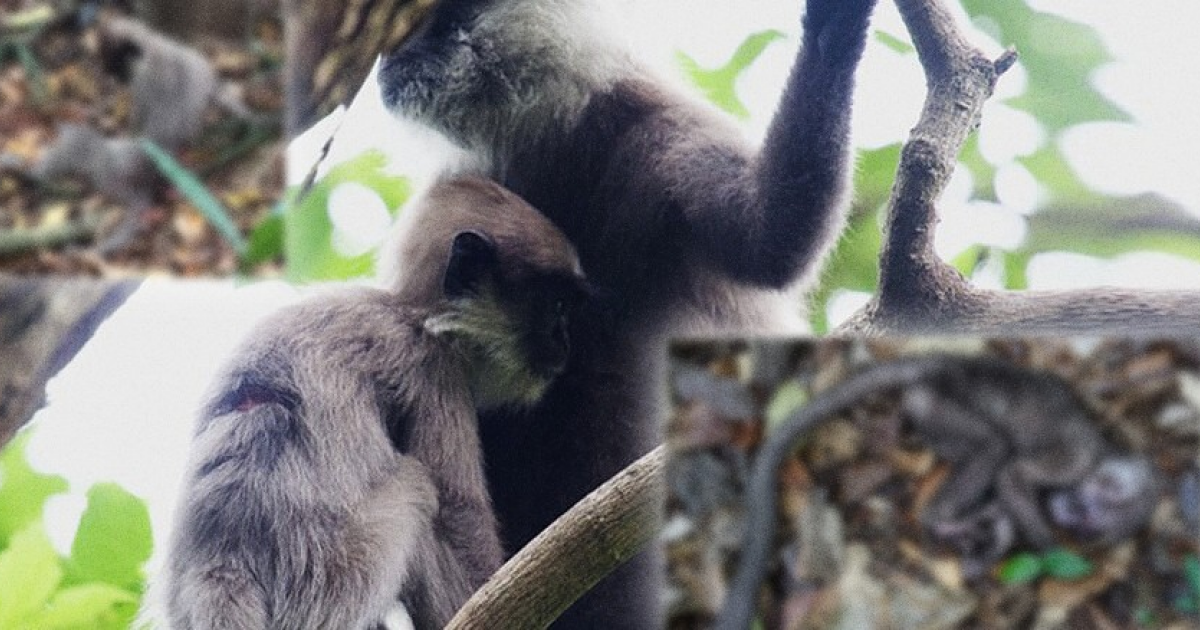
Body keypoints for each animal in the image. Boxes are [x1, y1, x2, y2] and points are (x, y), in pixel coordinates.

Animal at [162, 176, 592, 628]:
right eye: (557, 306)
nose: (564, 343)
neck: (408, 311)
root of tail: (224, 564)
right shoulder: (433, 369)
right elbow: (459, 517)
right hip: (338, 572)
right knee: (416, 483)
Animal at [715, 350, 1156, 628]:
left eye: (1088, 527)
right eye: (1086, 509)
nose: (1070, 518)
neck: (1101, 450)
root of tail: (946, 363)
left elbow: (1003, 509)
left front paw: (991, 541)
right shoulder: (1072, 461)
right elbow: (1012, 477)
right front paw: (1055, 553)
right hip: (939, 402)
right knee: (993, 447)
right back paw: (941, 521)